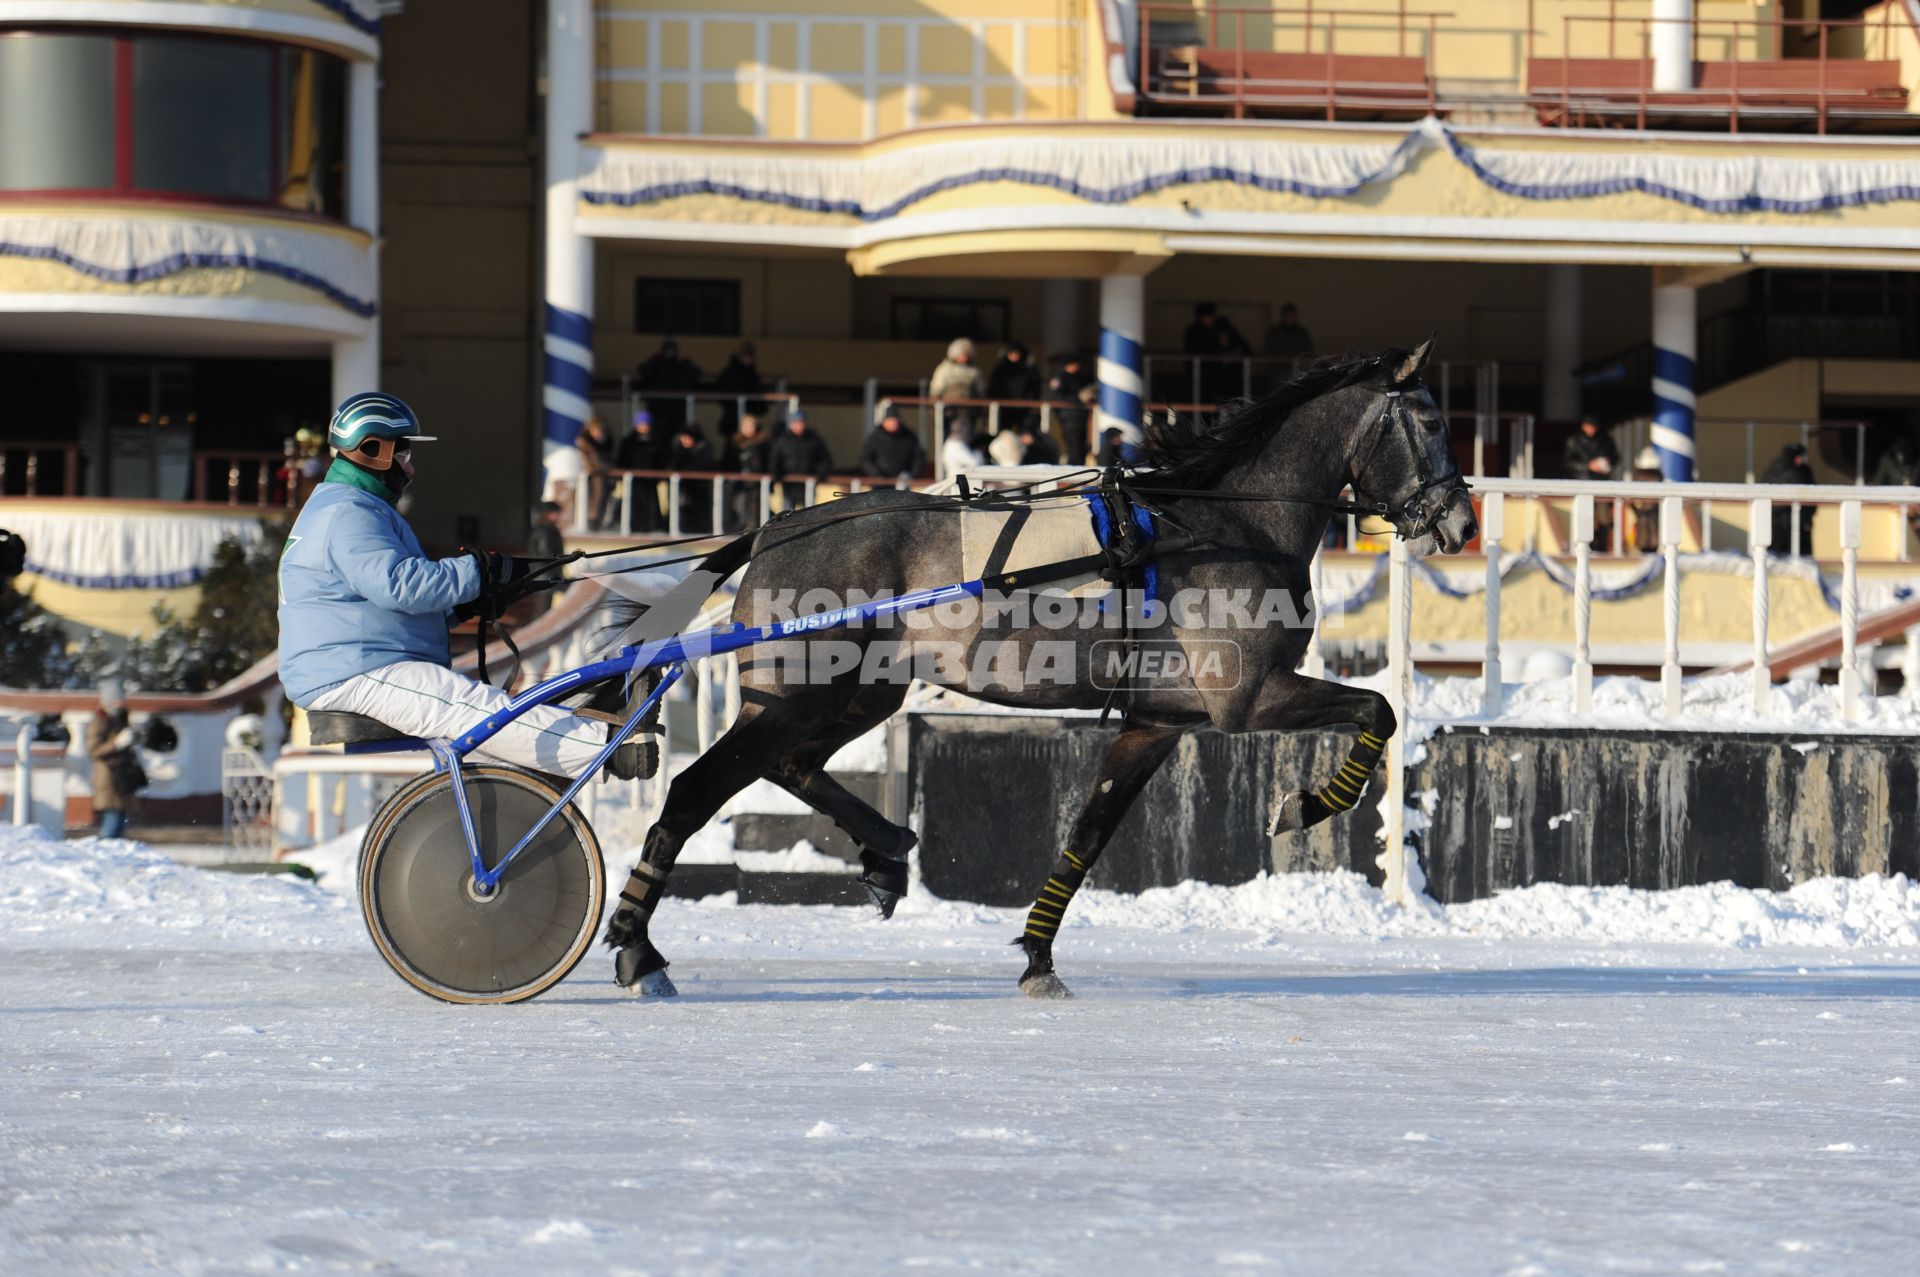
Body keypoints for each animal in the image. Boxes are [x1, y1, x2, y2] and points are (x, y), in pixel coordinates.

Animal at [595, 337, 1466, 998]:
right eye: (1429, 418)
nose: (1458, 519)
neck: (1224, 524)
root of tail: (778, 525)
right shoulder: (1246, 698)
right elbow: (1379, 711)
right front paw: (1305, 804)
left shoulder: (1159, 720)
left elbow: (1086, 834)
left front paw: (1039, 955)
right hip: (796, 696)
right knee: (696, 788)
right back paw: (639, 945)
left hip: (856, 693)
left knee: (794, 765)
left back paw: (885, 848)